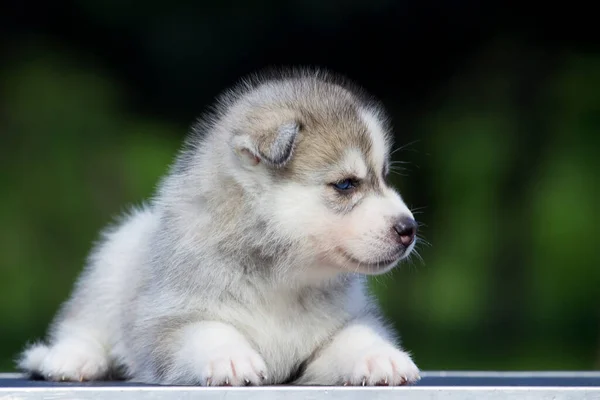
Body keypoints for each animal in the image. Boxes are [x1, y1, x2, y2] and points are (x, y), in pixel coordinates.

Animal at [18, 67, 422, 386]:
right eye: (346, 185)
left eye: (385, 176)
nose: (409, 229)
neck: (281, 279)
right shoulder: (168, 320)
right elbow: (207, 330)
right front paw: (230, 357)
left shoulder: (341, 324)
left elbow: (355, 335)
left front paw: (379, 356)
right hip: (113, 260)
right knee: (82, 322)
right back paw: (70, 359)